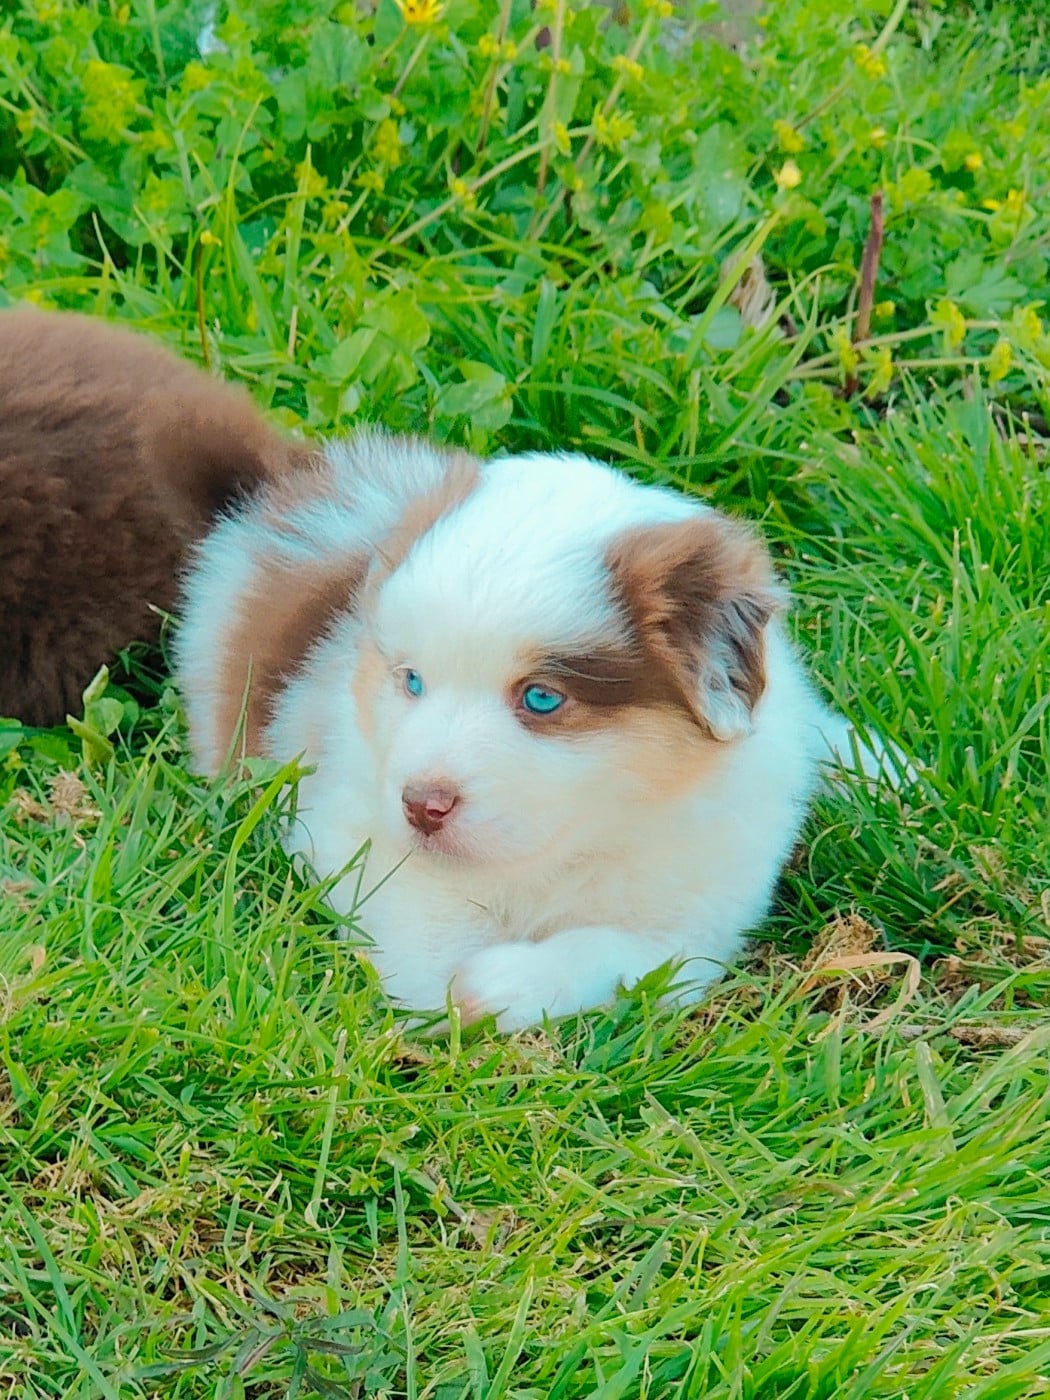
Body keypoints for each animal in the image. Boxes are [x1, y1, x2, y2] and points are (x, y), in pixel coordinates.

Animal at [175, 429, 897, 1030]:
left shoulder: (707, 906)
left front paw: (500, 985)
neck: (581, 842)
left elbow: (633, 955)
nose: (422, 806)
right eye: (412, 681)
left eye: (542, 698)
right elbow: (418, 915)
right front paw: (453, 998)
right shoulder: (342, 816)